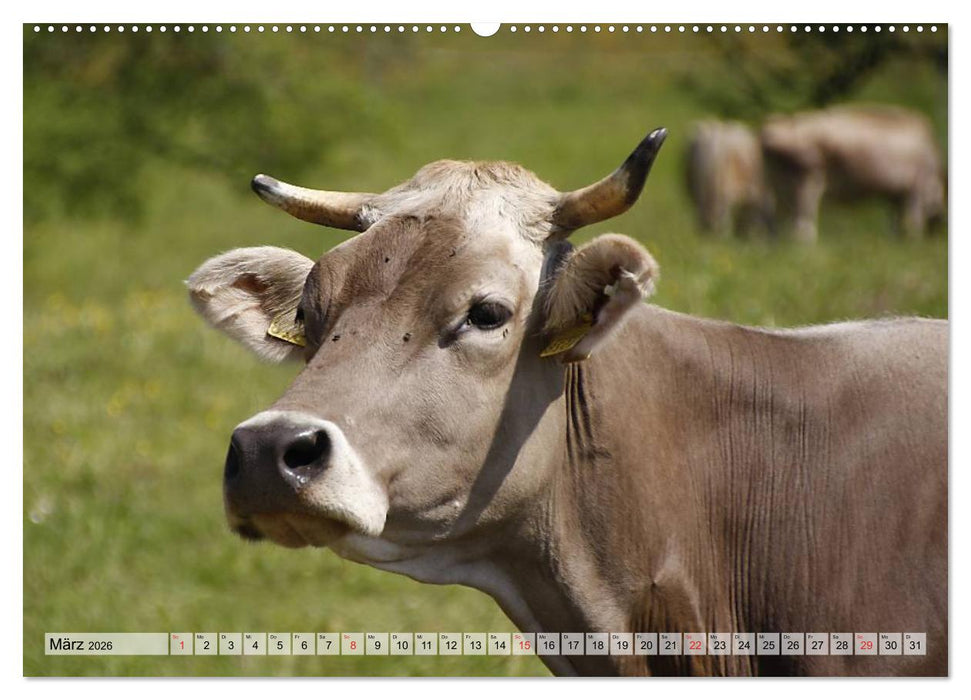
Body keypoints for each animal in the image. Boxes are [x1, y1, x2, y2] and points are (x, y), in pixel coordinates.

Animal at [760, 105, 945, 242]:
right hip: (807, 186)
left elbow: (894, 223)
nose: (938, 231)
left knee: (775, 226)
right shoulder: (916, 189)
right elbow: (913, 223)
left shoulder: (896, 195)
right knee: (802, 229)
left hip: (779, 189)